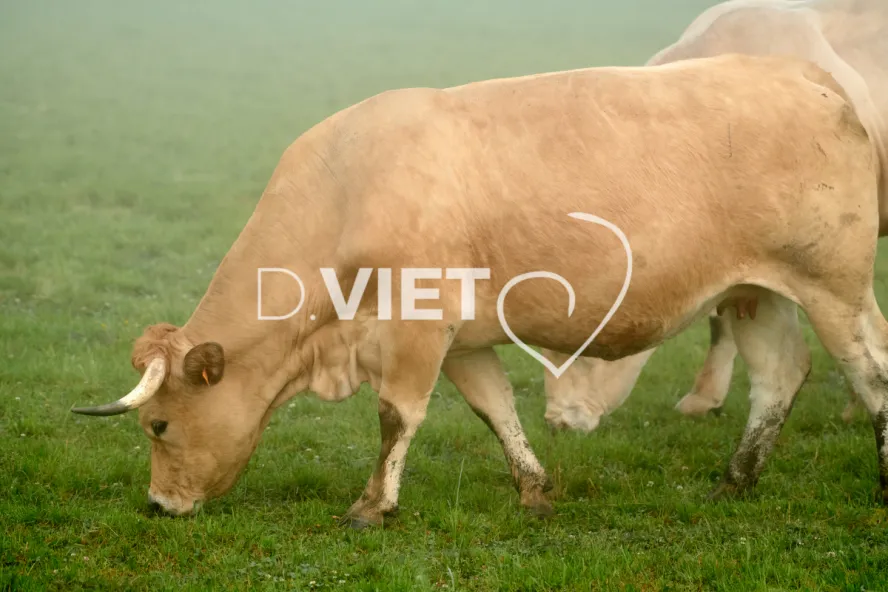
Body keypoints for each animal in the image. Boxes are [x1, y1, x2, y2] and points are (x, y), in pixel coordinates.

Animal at [71, 53, 886, 527]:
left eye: (159, 426)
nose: (158, 506)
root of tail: (802, 74)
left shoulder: (415, 329)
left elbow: (397, 416)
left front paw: (371, 506)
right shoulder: (463, 338)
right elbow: (495, 411)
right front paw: (533, 489)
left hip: (835, 285)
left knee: (870, 372)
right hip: (754, 290)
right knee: (779, 375)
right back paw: (736, 482)